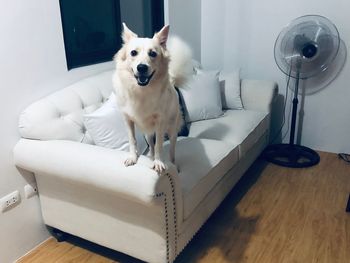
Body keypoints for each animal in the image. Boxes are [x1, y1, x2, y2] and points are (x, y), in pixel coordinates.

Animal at [113, 23, 191, 174]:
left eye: (153, 54)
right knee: (151, 143)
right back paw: (151, 156)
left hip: (172, 129)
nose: (142, 67)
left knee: (172, 150)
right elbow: (132, 140)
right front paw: (133, 158)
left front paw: (158, 163)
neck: (142, 90)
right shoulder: (128, 120)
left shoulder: (160, 122)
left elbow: (159, 144)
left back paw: (173, 164)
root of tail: (172, 83)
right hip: (147, 133)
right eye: (133, 53)